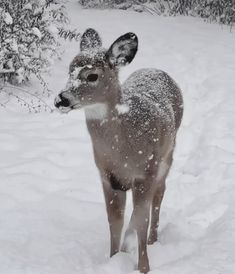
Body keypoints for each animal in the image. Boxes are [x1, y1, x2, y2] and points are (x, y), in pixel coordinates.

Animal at [54, 28, 184, 272]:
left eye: (92, 76)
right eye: (70, 70)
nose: (61, 99)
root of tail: (157, 70)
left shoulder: (145, 172)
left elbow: (141, 220)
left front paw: (143, 267)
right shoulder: (108, 177)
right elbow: (115, 220)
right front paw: (114, 257)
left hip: (167, 155)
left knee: (159, 194)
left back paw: (153, 239)